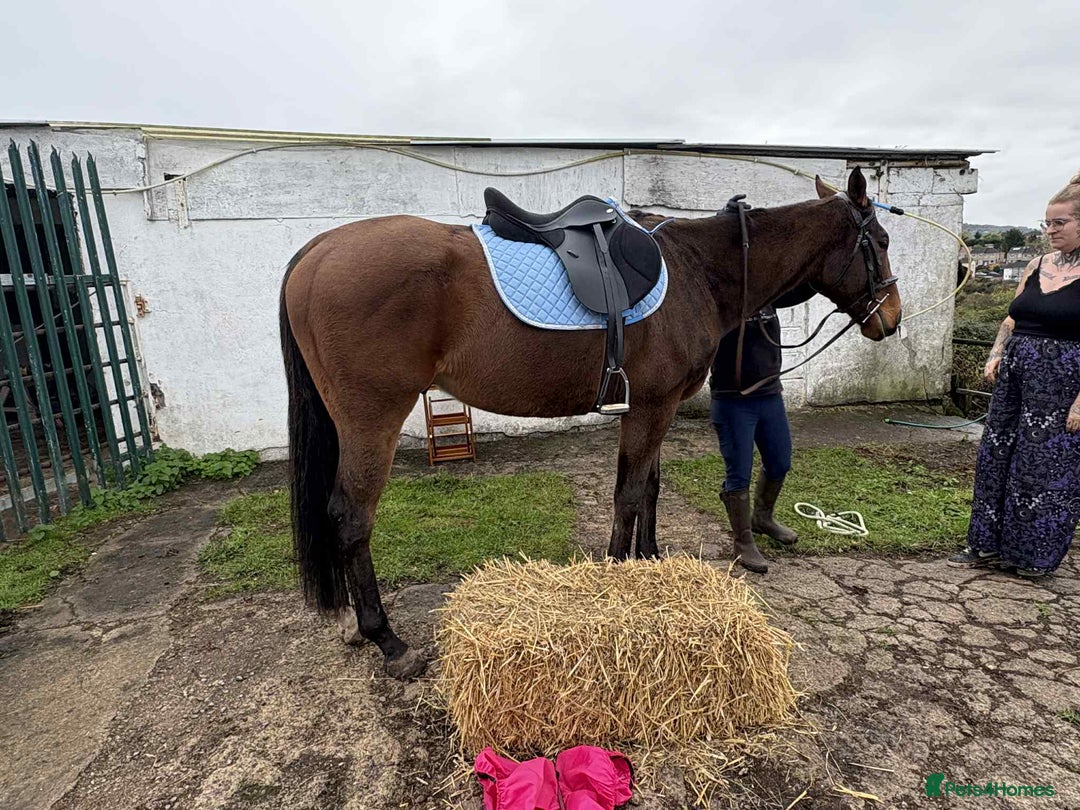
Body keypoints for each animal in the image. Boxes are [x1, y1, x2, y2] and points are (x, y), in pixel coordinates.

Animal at [279, 168, 901, 678]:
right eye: (881, 241)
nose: (891, 320)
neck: (698, 268)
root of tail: (317, 249)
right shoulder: (651, 406)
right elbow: (628, 491)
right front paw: (619, 574)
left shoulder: (657, 404)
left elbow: (648, 486)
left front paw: (648, 561)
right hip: (373, 418)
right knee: (351, 517)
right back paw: (387, 640)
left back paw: (353, 624)